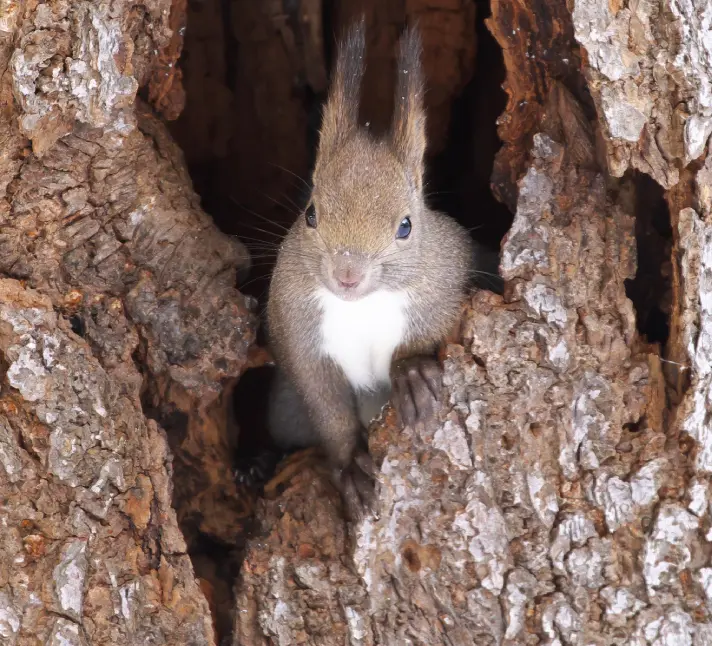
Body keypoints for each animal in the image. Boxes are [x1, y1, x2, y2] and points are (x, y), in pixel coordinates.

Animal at [262, 20, 496, 524]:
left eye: (406, 225)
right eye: (311, 214)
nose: (347, 275)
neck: (360, 307)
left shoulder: (448, 279)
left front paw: (411, 374)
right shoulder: (298, 331)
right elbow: (325, 405)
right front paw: (350, 464)